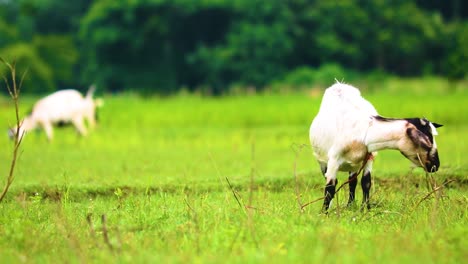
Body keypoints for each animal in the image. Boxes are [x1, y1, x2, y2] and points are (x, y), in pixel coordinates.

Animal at [308, 82, 440, 212]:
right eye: (426, 142)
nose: (436, 165)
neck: (364, 131)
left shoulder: (369, 157)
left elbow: (365, 182)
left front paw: (366, 209)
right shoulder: (333, 160)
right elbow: (330, 187)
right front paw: (324, 213)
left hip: (354, 164)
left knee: (352, 181)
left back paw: (350, 205)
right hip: (323, 160)